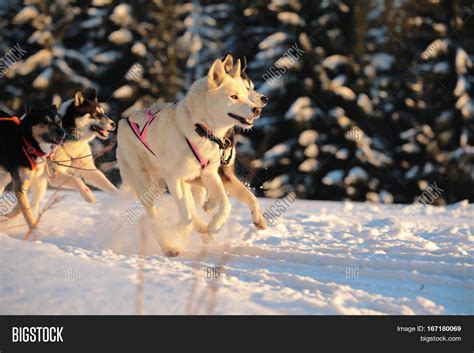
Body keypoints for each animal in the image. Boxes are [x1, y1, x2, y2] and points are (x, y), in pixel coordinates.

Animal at [116, 56, 262, 254]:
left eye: (246, 94)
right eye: (234, 96)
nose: (257, 110)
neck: (200, 128)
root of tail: (124, 121)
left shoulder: (210, 174)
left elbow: (225, 204)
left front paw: (213, 227)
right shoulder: (173, 178)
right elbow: (185, 217)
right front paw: (178, 233)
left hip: (181, 180)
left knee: (189, 205)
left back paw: (201, 226)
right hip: (147, 183)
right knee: (153, 217)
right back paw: (168, 245)